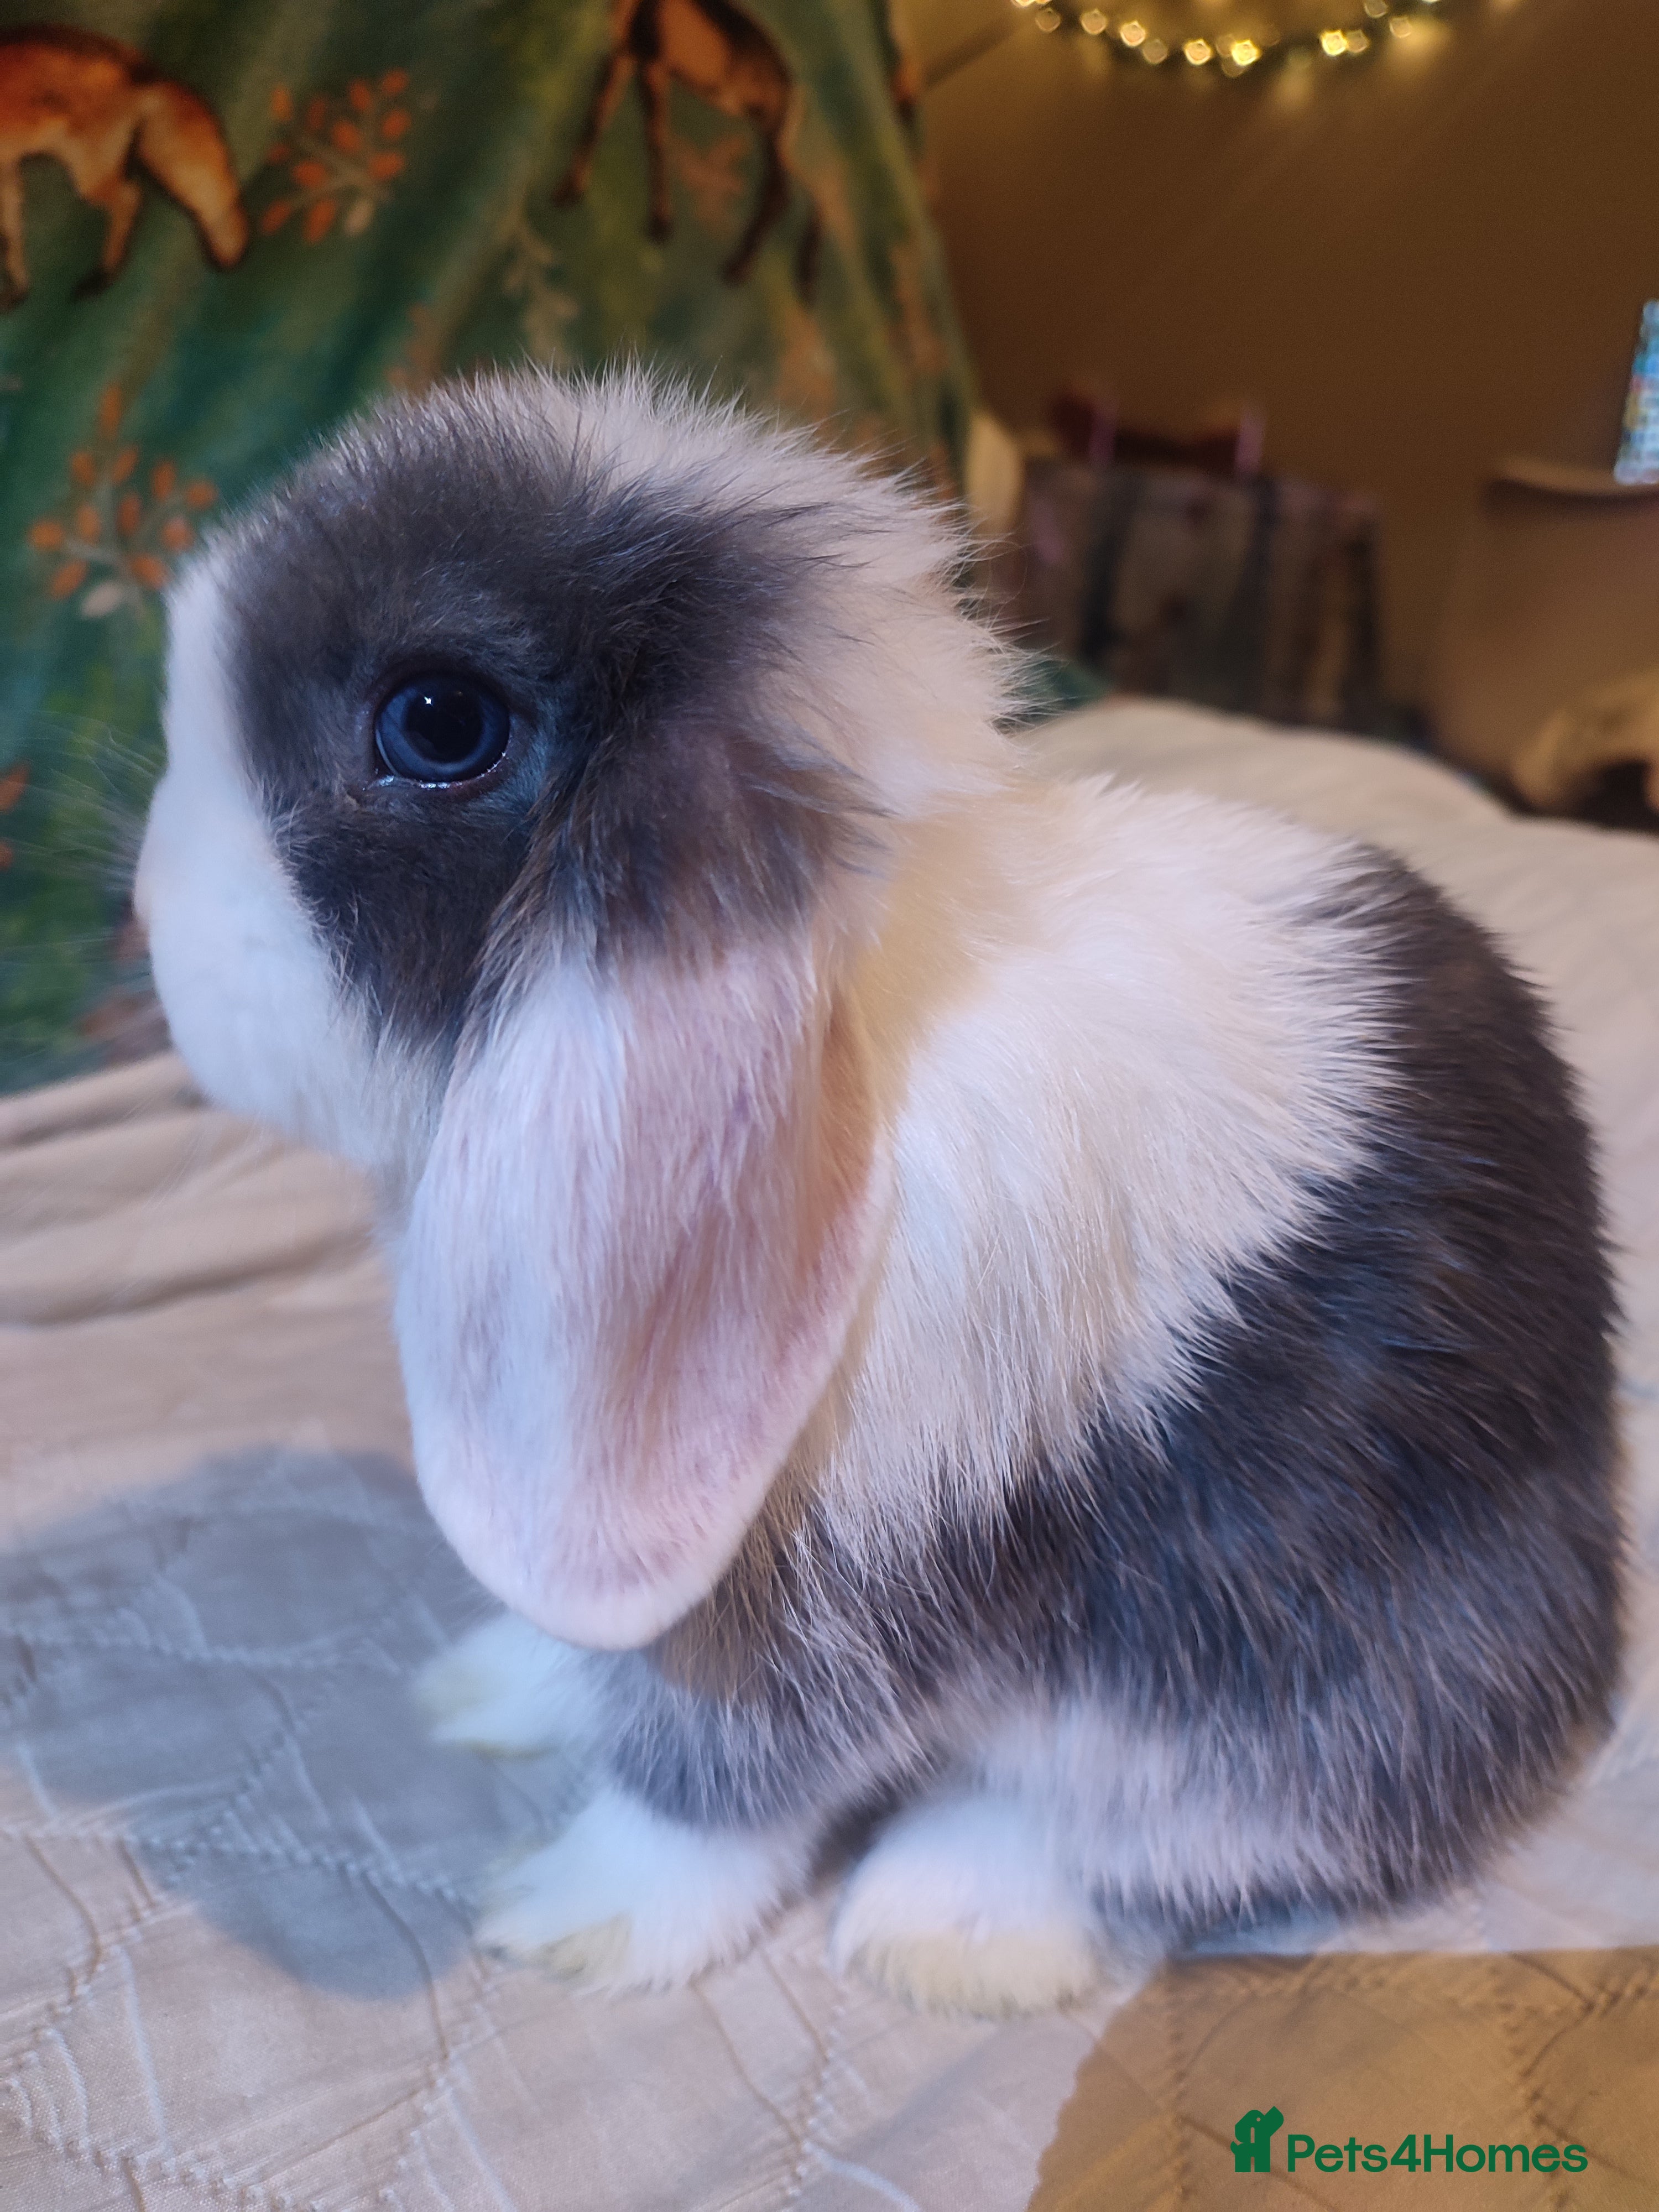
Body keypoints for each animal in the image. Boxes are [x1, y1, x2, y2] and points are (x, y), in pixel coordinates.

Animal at [134, 369, 1622, 2016]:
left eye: (436, 721)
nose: (147, 912)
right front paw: (486, 1690)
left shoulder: (835, 1574)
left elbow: (719, 1781)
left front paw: (572, 1917)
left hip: (1304, 1683)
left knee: (1125, 1824)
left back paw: (941, 1938)